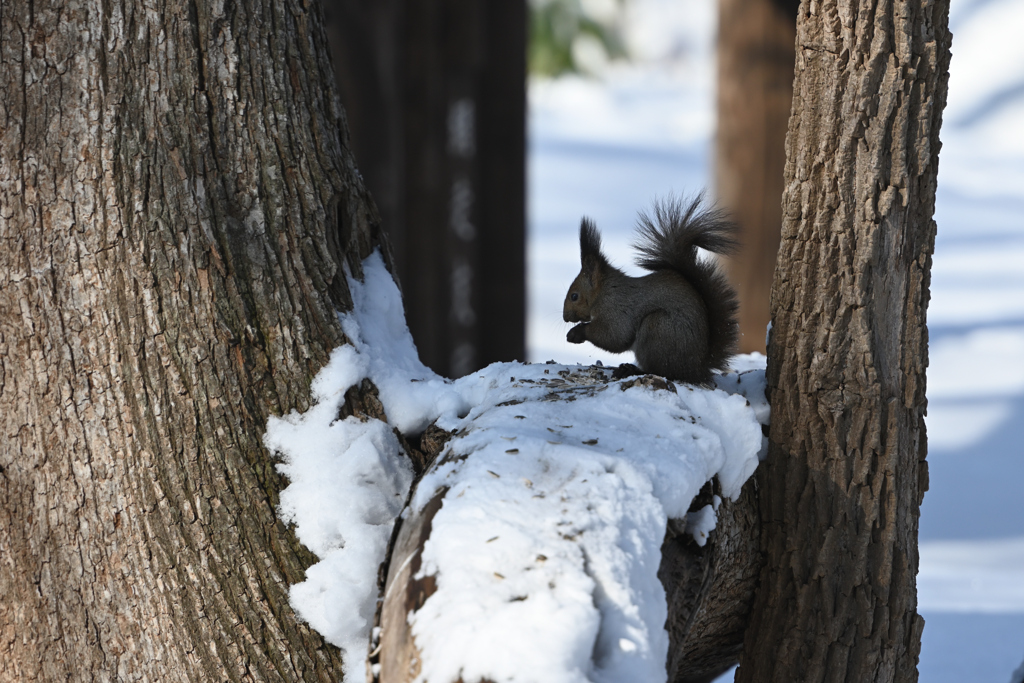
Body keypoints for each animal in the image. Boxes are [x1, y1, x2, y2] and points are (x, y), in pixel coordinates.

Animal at [565, 194, 741, 387]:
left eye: (574, 296)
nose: (565, 317)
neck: (604, 292)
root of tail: (698, 368)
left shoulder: (616, 308)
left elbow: (615, 337)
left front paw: (577, 332)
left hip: (657, 328)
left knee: (662, 371)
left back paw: (631, 370)